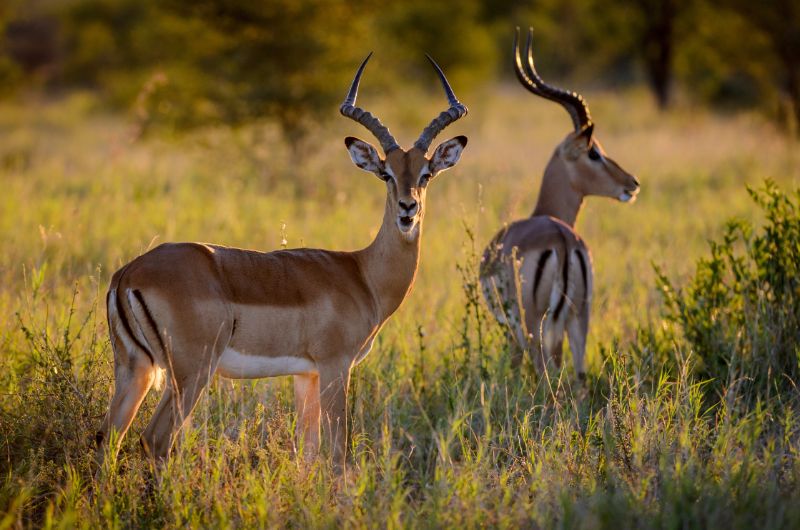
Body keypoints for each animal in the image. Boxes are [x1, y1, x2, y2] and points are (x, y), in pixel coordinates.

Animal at [95, 55, 468, 472]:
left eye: (426, 173)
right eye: (386, 173)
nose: (408, 209)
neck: (362, 276)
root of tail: (128, 274)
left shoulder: (305, 373)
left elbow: (307, 451)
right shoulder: (336, 366)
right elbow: (337, 453)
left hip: (135, 369)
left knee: (108, 437)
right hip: (190, 373)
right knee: (155, 440)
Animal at [478, 28, 640, 378]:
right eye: (595, 152)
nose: (632, 184)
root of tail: (562, 239)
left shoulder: (512, 329)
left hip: (536, 323)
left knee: (544, 372)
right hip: (579, 318)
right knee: (579, 377)